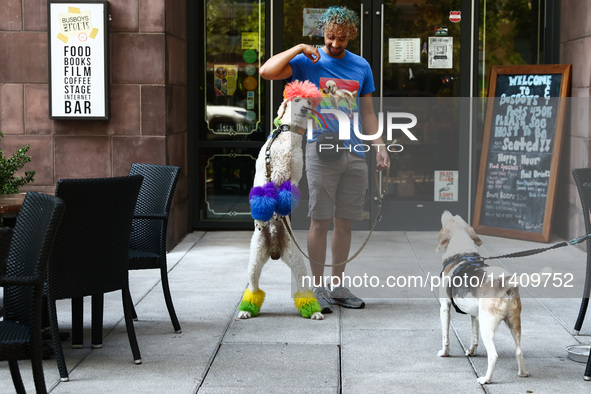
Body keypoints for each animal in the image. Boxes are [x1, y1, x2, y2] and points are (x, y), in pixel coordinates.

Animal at [237, 80, 324, 320]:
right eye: (296, 100)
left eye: (309, 101)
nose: (305, 108)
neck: (286, 134)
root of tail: (274, 250)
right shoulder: (263, 174)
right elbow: (263, 195)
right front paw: (263, 212)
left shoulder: (292, 178)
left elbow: (286, 193)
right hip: (254, 261)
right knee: (253, 287)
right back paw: (246, 310)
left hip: (296, 260)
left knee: (303, 289)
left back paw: (313, 311)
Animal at [438, 211, 528, 384]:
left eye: (452, 218)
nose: (445, 211)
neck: (463, 253)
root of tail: (505, 282)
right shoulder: (475, 315)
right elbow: (474, 336)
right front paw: (471, 351)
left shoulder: (445, 307)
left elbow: (445, 336)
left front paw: (444, 353)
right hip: (515, 323)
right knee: (519, 351)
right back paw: (523, 373)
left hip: (488, 326)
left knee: (493, 355)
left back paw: (486, 379)